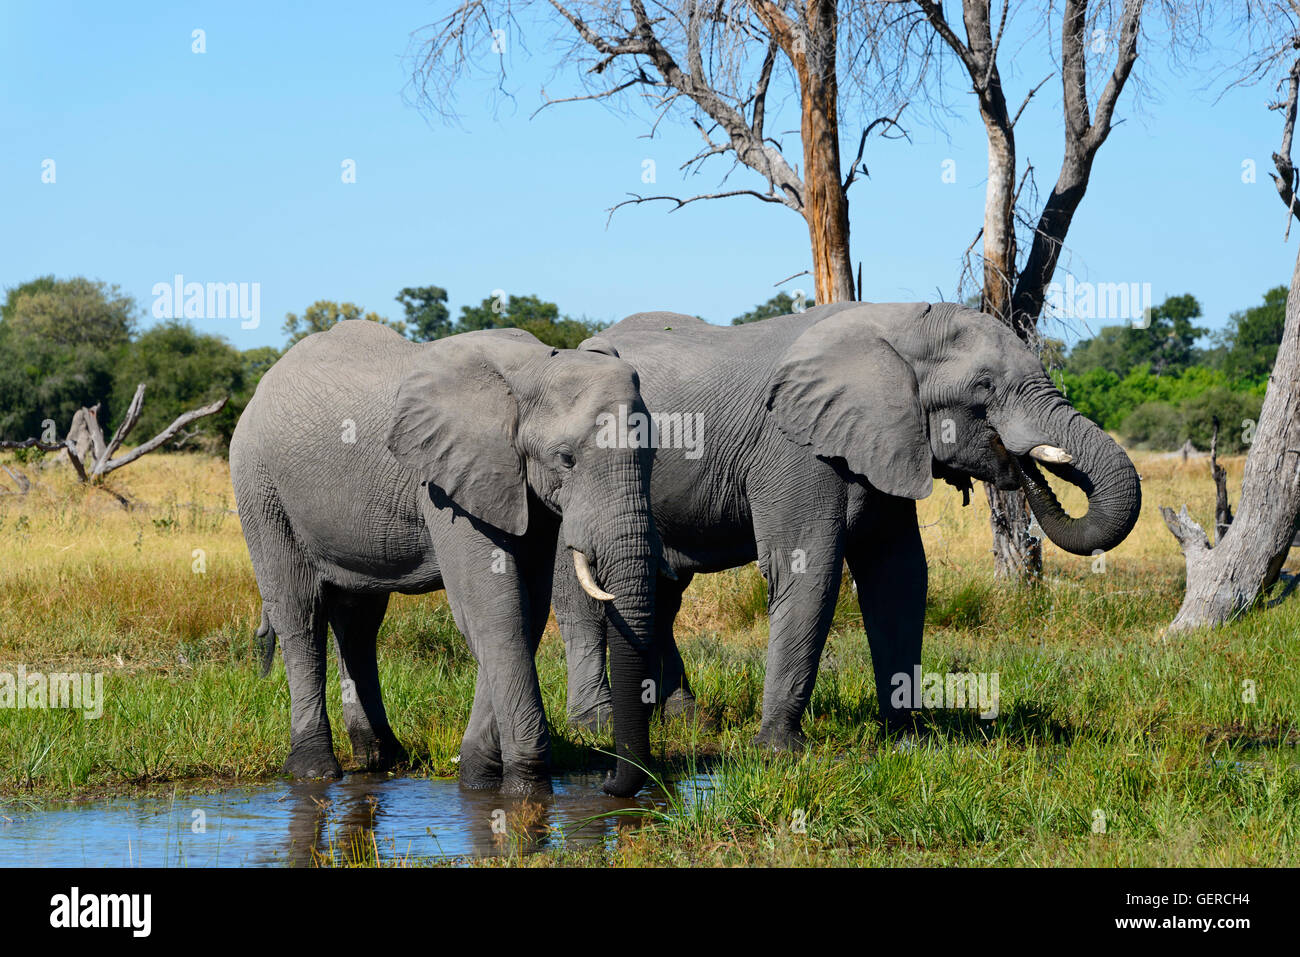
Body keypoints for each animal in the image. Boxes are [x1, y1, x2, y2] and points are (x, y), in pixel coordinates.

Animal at [226, 317, 660, 795]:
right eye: (566, 459)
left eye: (653, 454)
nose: (607, 782)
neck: (531, 371)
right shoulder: (446, 483)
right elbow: (492, 610)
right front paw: (523, 787)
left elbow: (526, 609)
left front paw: (478, 775)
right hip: (260, 487)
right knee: (299, 613)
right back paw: (313, 770)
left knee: (358, 622)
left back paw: (382, 758)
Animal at [553, 302, 1144, 743]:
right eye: (983, 388)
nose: (1022, 463)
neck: (900, 326)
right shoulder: (795, 446)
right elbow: (808, 571)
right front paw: (780, 751)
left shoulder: (887, 442)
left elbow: (899, 576)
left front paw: (908, 741)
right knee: (583, 593)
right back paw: (596, 725)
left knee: (661, 590)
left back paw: (686, 718)